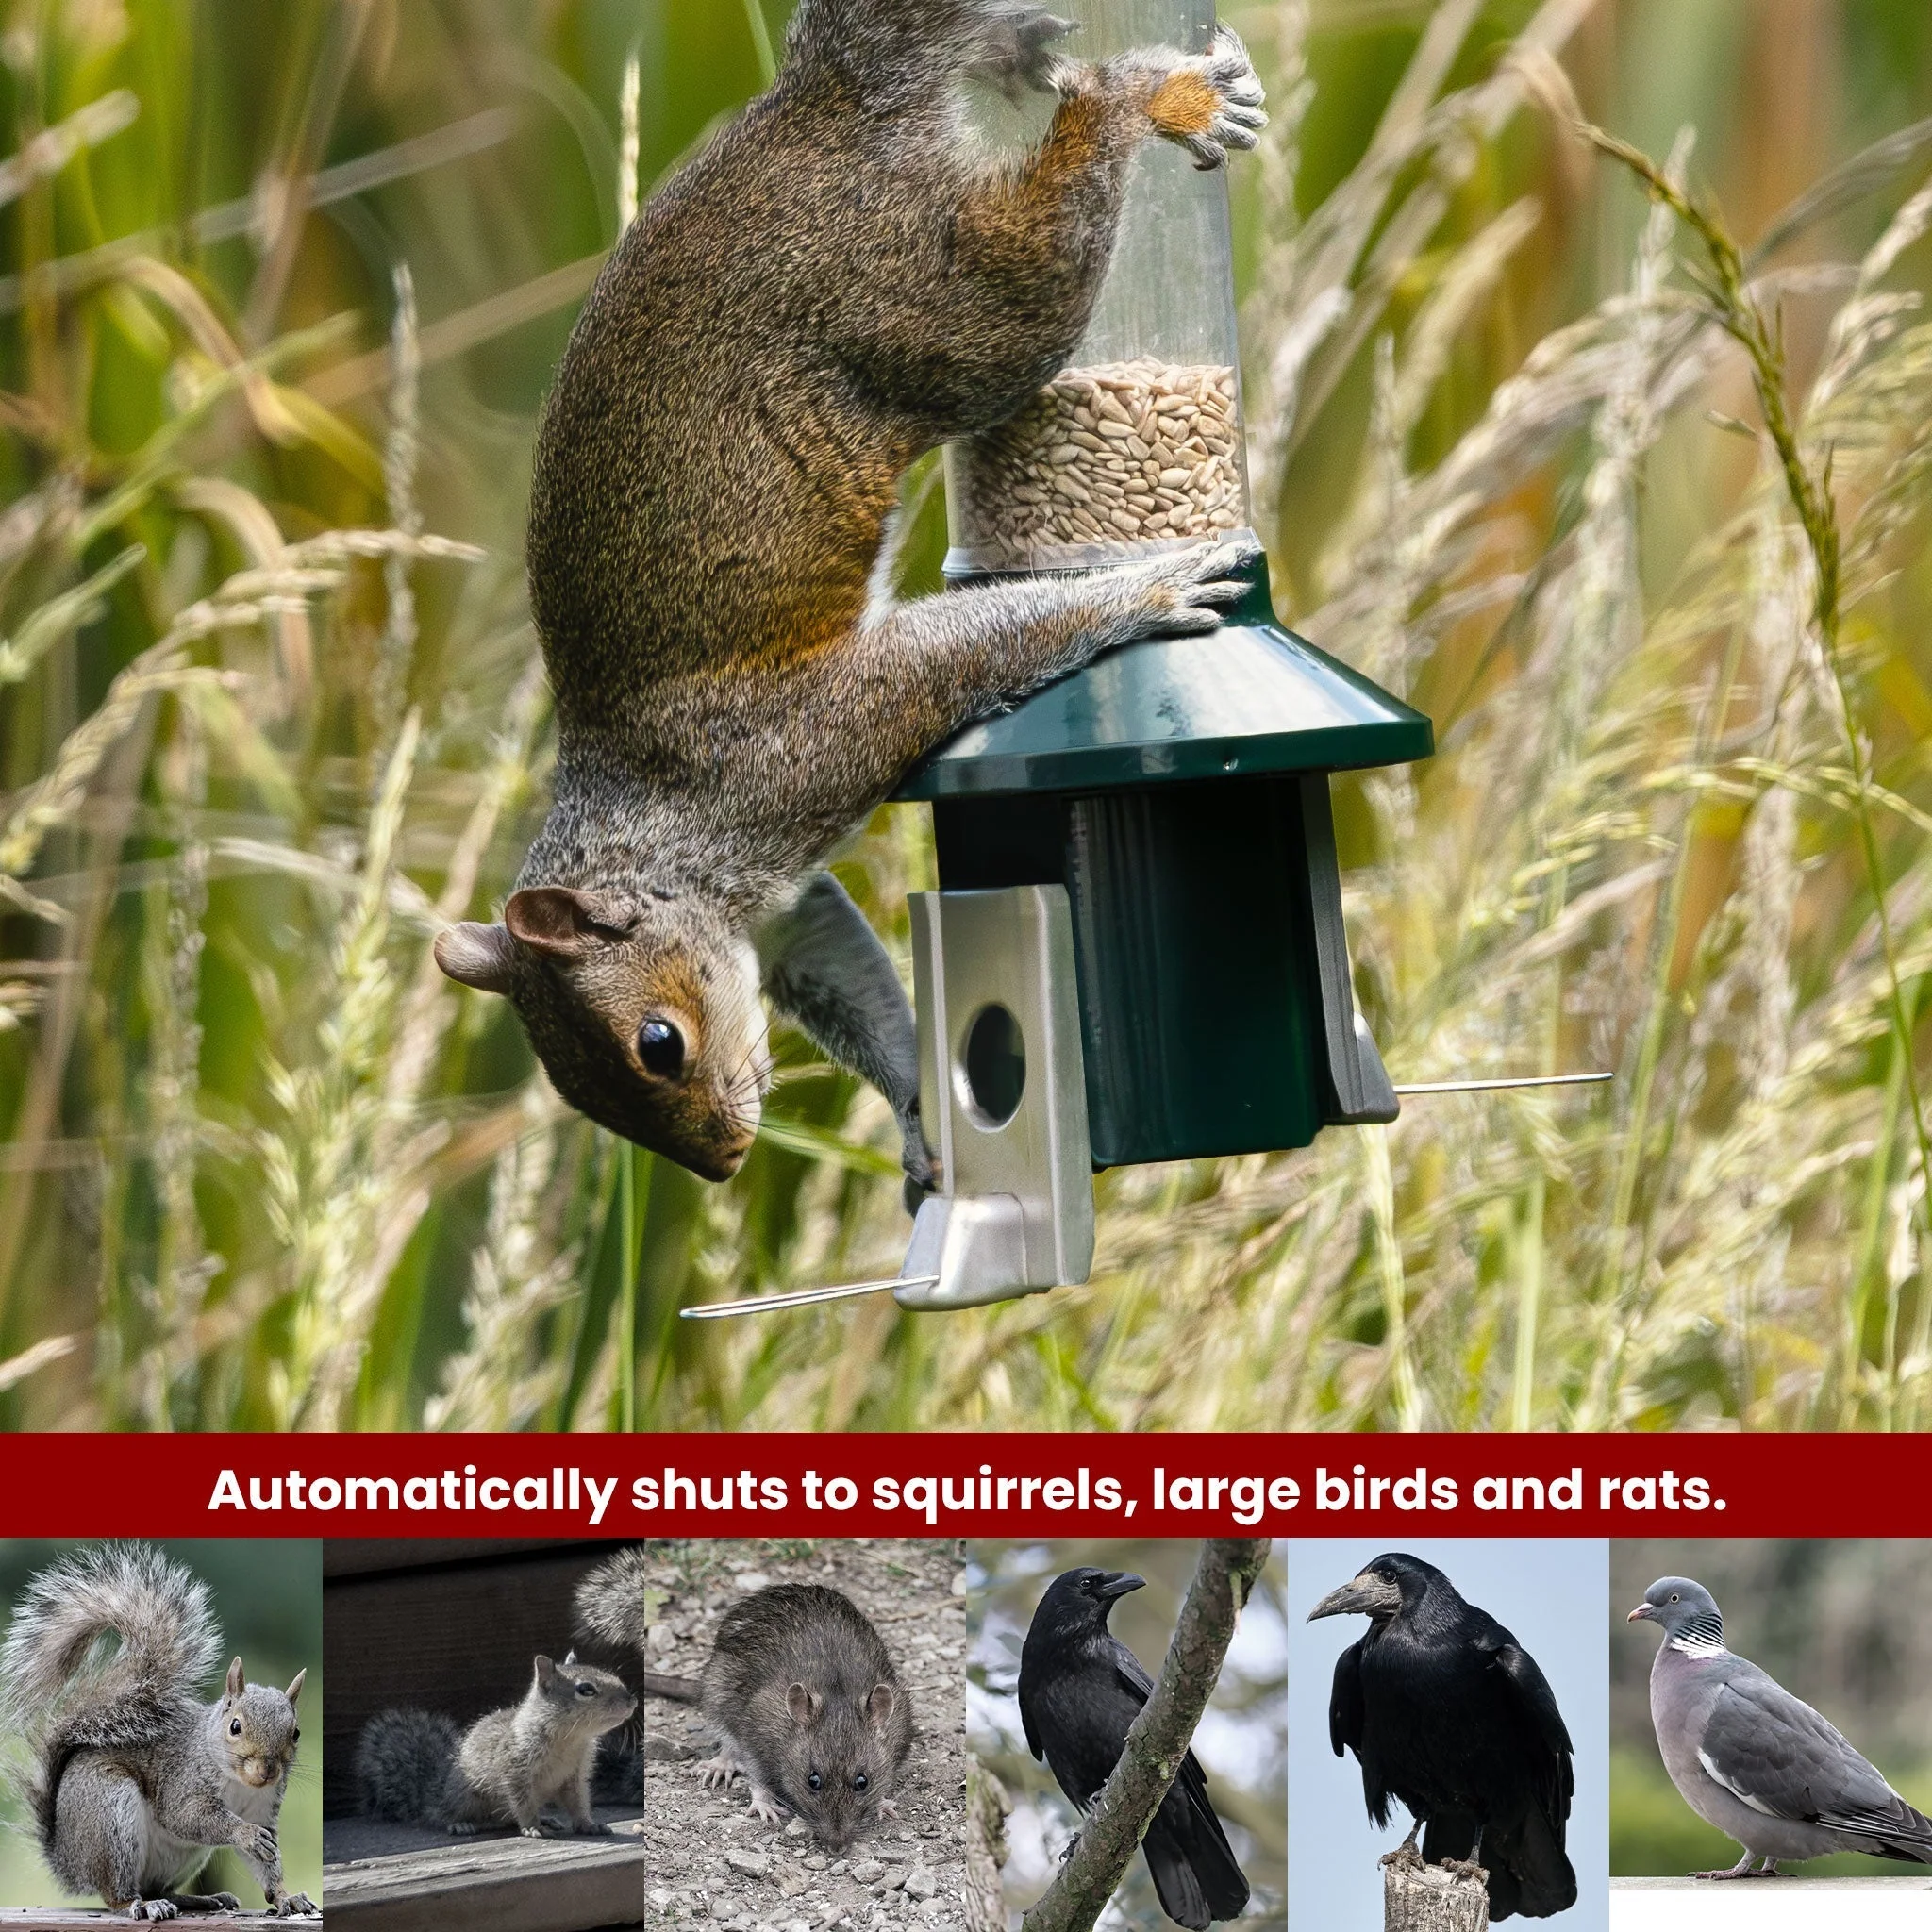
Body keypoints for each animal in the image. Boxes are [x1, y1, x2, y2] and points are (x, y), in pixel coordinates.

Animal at [0, 1542, 317, 1921]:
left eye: (295, 1733)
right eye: (235, 1726)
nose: (268, 1770)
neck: (239, 1782)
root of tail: (67, 1860)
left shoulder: (264, 1808)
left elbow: (267, 1864)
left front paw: (287, 1897)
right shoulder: (183, 1782)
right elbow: (188, 1817)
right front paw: (245, 1835)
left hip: (182, 1857)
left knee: (158, 1887)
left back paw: (199, 1900)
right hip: (111, 1815)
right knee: (117, 1893)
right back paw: (141, 1905)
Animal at [356, 1652, 637, 1838]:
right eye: (586, 1689)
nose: (631, 1701)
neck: (570, 1739)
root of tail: (434, 1794)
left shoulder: (575, 1777)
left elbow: (578, 1803)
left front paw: (588, 1824)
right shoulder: (515, 1770)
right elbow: (522, 1803)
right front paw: (532, 1826)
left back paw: (546, 1819)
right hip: (465, 1796)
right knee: (448, 1814)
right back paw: (461, 1824)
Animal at [432, 0, 1269, 1195]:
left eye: (656, 1042)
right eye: (576, 1092)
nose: (724, 1163)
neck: (660, 830)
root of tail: (823, 102)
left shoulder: (814, 739)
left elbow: (962, 655)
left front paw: (1144, 589)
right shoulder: (787, 914)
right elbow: (849, 976)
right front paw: (921, 1109)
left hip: (946, 308)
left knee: (1052, 219)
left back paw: (1151, 97)